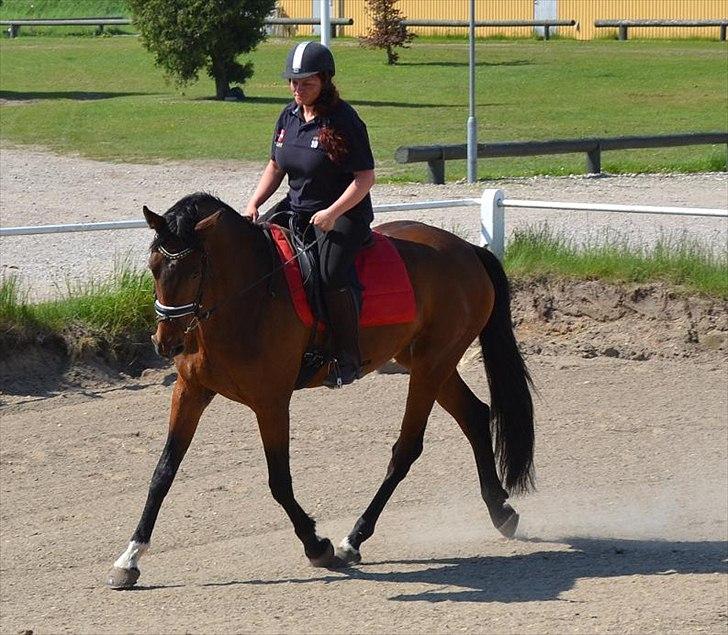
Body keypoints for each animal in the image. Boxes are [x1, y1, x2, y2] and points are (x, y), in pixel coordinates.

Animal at [105, 194, 532, 592]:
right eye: (153, 267)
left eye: (195, 270)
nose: (166, 343)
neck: (248, 294)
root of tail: (467, 250)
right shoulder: (190, 391)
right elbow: (163, 473)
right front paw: (130, 558)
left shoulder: (271, 402)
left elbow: (279, 481)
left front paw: (317, 545)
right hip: (427, 363)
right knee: (474, 415)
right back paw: (501, 511)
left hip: (431, 365)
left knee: (407, 449)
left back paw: (353, 538)